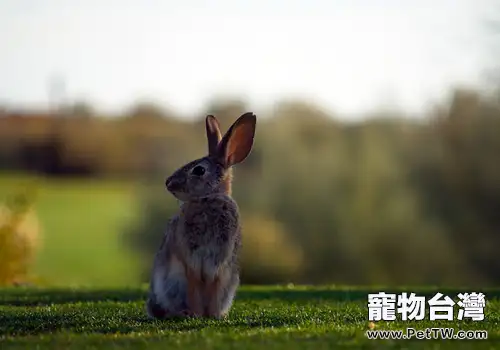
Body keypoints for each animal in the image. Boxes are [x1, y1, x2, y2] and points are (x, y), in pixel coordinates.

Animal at [144, 112, 254, 320]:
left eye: (199, 170)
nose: (168, 183)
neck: (208, 198)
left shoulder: (219, 263)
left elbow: (213, 286)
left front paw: (213, 315)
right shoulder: (190, 261)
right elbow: (194, 284)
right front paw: (195, 314)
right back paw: (182, 313)